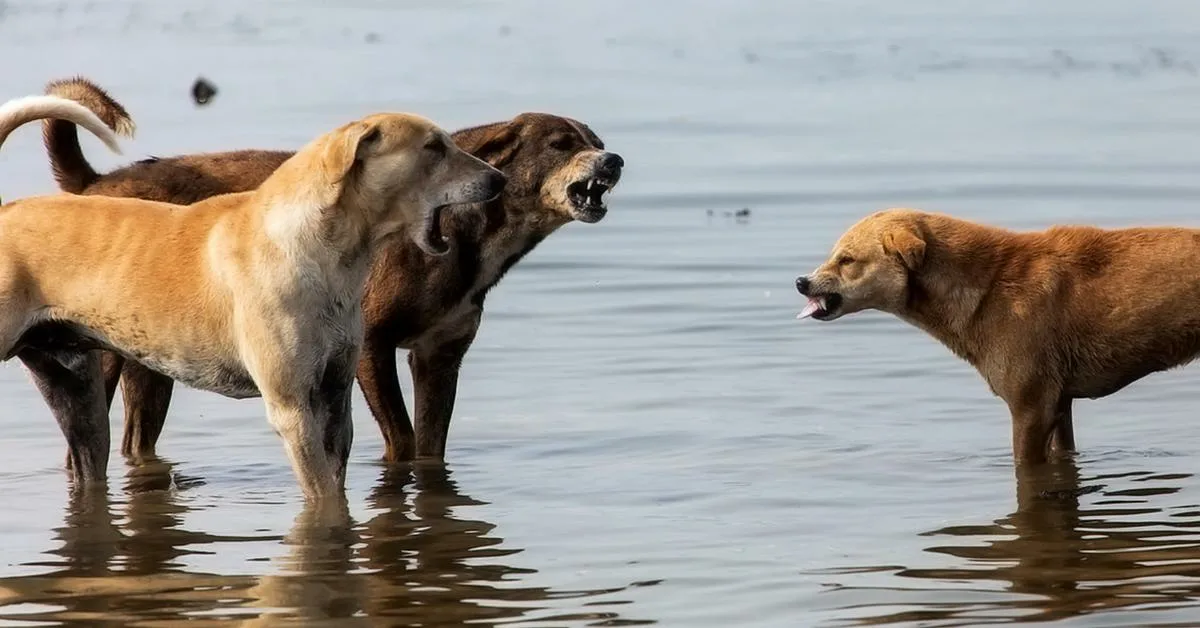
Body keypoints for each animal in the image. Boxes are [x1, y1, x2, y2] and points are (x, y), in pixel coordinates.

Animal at [1, 90, 506, 499]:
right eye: (434, 147)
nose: (499, 180)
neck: (316, 247)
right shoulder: (292, 407)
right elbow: (322, 496)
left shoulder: (334, 397)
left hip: (73, 388)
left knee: (88, 458)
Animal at [37, 76, 624, 463]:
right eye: (560, 144)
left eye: (595, 140)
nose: (614, 160)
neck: (466, 232)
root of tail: (95, 183)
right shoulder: (370, 346)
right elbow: (403, 442)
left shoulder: (440, 355)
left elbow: (430, 446)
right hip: (104, 353)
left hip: (151, 357)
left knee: (136, 443)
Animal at [796, 208, 1200, 463]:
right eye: (834, 255)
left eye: (847, 259)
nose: (801, 281)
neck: (986, 287)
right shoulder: (1060, 402)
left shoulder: (1031, 406)